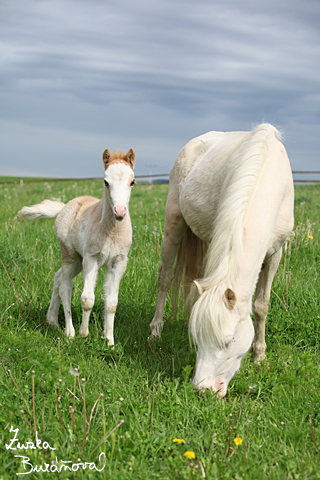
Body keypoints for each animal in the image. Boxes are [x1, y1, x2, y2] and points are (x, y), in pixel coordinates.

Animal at [17, 148, 136, 344]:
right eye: (105, 181)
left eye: (132, 181)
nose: (120, 211)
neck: (111, 231)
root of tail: (65, 206)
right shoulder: (92, 258)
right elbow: (87, 298)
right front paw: (84, 334)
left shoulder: (118, 262)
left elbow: (112, 303)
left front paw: (109, 341)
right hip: (70, 255)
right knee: (65, 287)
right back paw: (69, 332)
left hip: (78, 260)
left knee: (58, 278)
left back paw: (52, 321)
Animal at [149, 124, 294, 398]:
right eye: (198, 339)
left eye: (229, 342)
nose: (203, 389)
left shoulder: (275, 253)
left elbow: (261, 305)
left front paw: (259, 356)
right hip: (174, 222)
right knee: (165, 278)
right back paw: (155, 330)